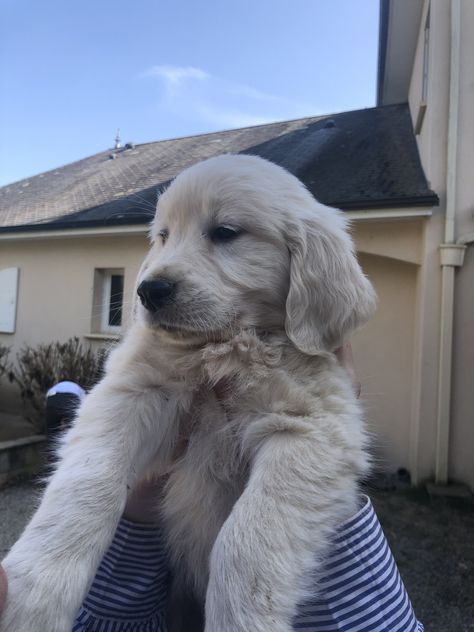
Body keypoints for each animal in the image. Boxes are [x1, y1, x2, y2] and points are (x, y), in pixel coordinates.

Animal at [0, 154, 378, 632]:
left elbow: (247, 539)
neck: (223, 347)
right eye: (163, 236)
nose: (147, 290)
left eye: (225, 232)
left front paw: (241, 620)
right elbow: (89, 484)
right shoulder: (131, 392)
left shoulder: (314, 429)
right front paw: (33, 598)